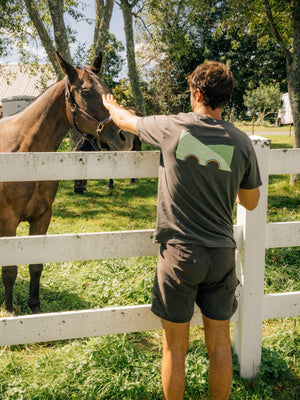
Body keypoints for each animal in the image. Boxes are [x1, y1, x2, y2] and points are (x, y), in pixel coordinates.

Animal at [0, 50, 136, 312]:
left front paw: (35, 307)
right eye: (86, 92)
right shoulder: (8, 222)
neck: (26, 155)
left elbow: (36, 265)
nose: (123, 136)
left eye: (108, 89)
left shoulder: (42, 217)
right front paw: (10, 310)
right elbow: (10, 270)